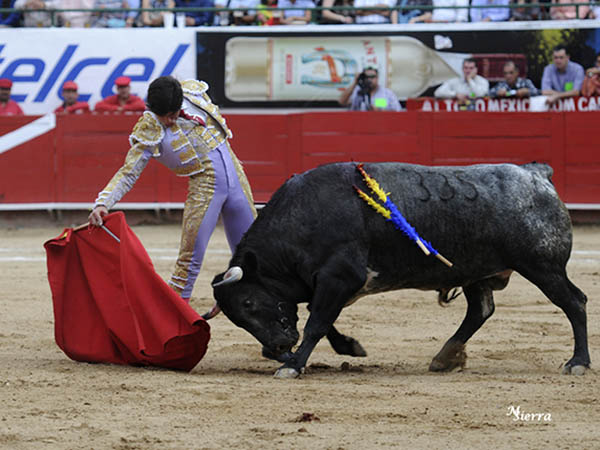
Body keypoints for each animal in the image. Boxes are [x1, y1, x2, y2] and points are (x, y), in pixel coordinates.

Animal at [209, 163, 588, 378]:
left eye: (248, 303)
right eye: (237, 317)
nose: (277, 347)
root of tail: (538, 175)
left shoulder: (340, 277)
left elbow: (317, 322)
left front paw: (292, 365)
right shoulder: (332, 284)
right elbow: (324, 320)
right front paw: (349, 347)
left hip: (543, 267)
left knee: (574, 302)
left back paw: (578, 362)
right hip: (477, 272)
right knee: (480, 310)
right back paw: (445, 357)